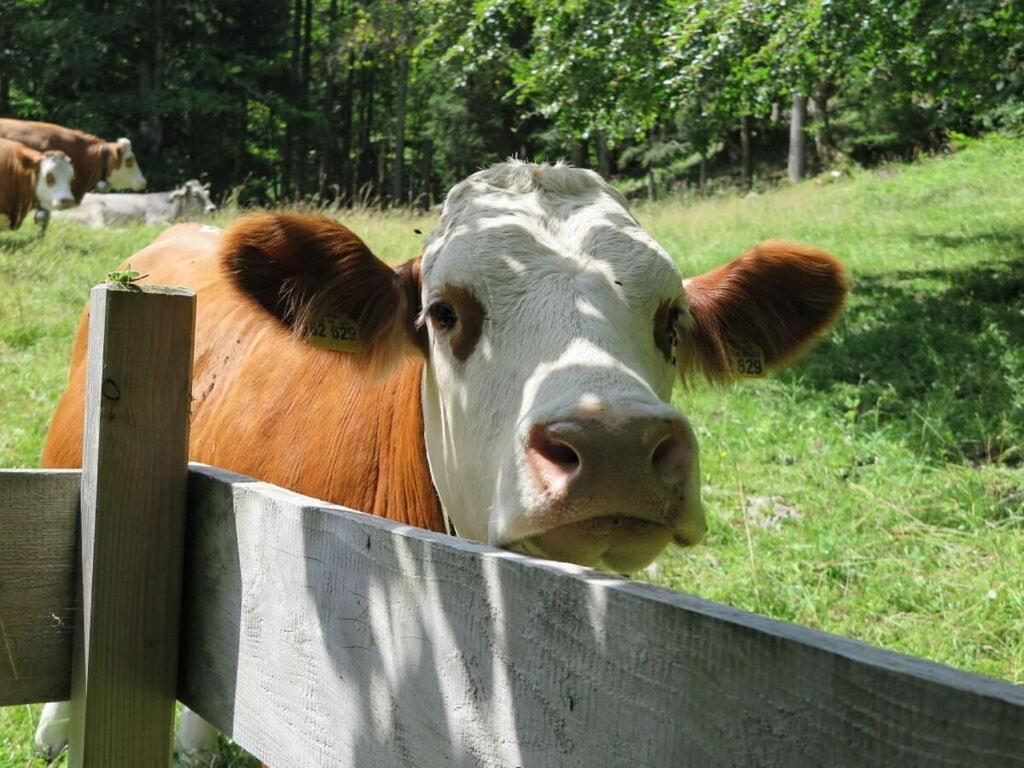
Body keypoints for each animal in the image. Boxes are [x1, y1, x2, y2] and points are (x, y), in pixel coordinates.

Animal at [51, 179, 216, 227]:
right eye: (195, 195)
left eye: (207, 193)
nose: (212, 208)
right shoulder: (153, 220)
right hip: (96, 208)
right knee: (99, 228)